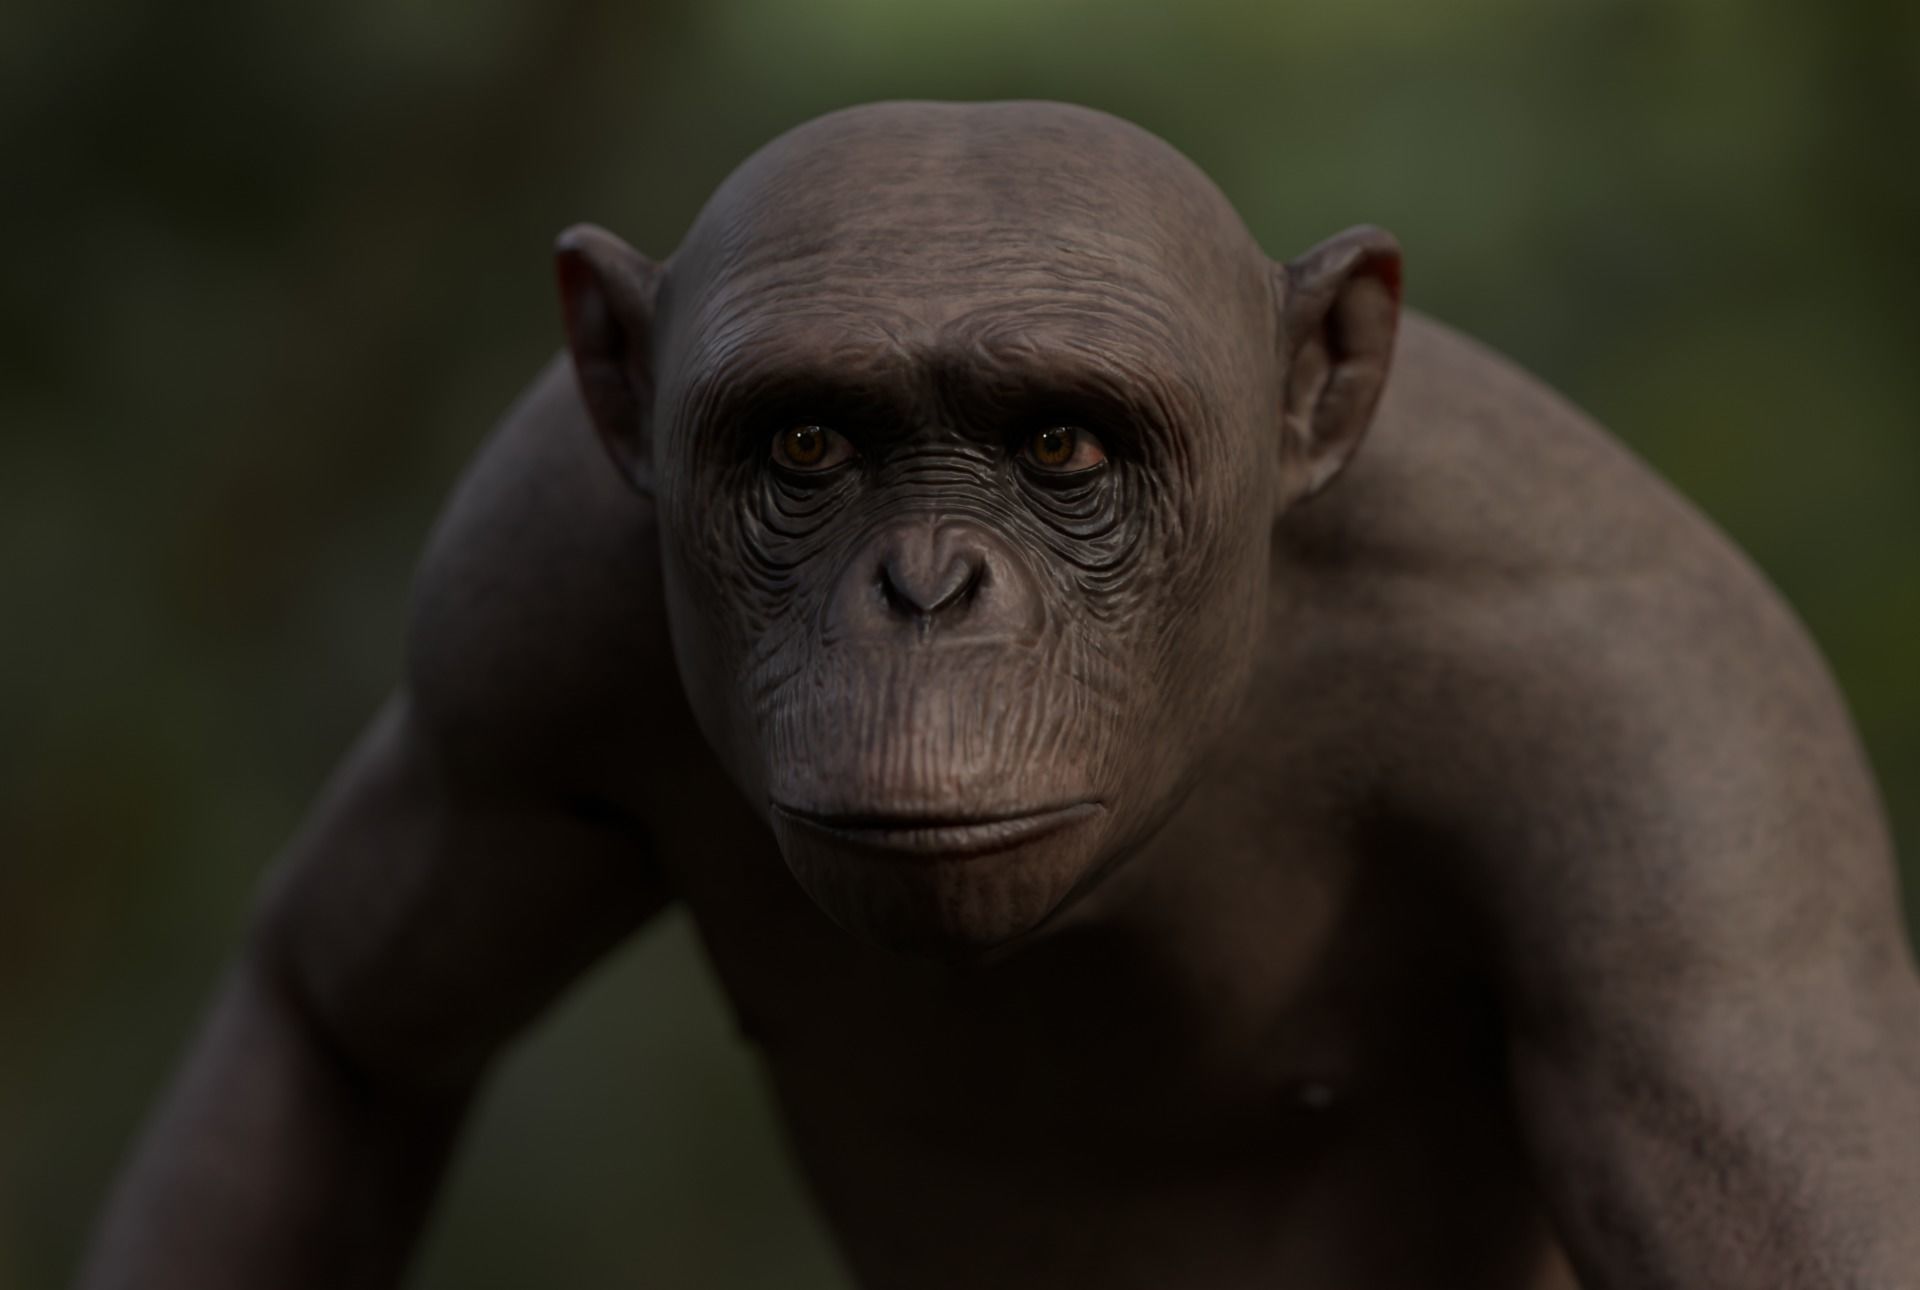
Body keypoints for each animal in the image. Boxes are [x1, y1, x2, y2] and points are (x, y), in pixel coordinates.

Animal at [80, 100, 1920, 1290]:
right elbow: (340, 1020)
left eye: (1062, 449)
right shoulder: (505, 622)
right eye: (808, 443)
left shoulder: (1662, 744)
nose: (927, 585)